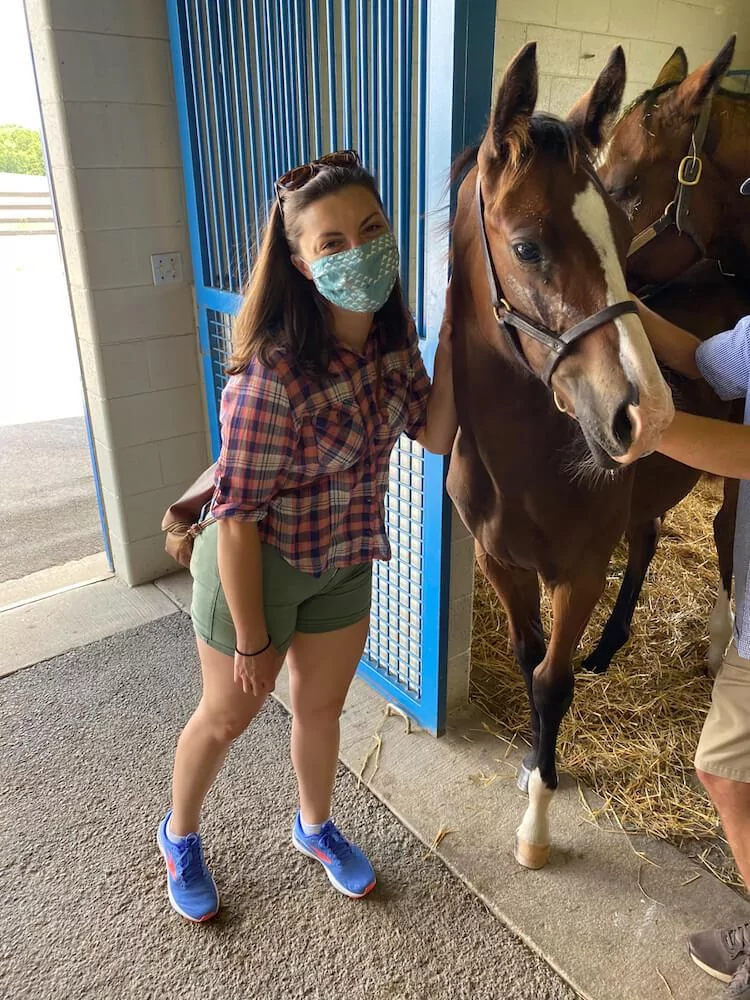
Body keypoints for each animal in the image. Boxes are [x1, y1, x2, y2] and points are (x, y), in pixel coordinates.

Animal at [450, 41, 736, 868]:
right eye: (526, 246)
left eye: (620, 214)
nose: (646, 415)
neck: (520, 464)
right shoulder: (500, 562)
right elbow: (529, 658)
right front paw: (530, 761)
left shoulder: (577, 572)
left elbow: (552, 680)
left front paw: (537, 826)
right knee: (649, 539)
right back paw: (612, 647)